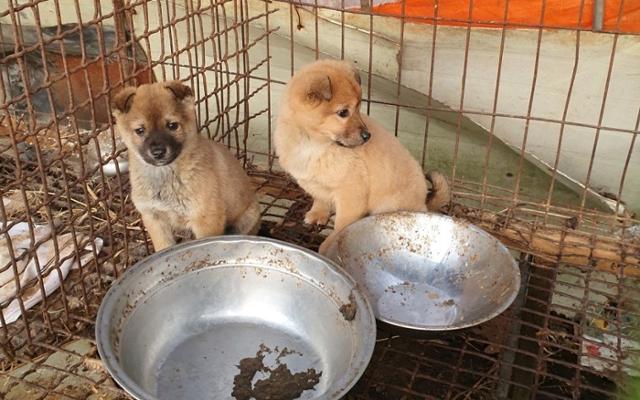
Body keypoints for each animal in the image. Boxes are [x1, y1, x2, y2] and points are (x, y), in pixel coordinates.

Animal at [112, 79, 260, 252]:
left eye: (172, 125)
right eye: (140, 130)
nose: (158, 152)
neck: (165, 176)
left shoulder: (206, 219)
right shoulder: (154, 218)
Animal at [274, 59, 450, 253]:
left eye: (358, 108)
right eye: (344, 112)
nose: (367, 136)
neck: (314, 144)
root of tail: (423, 204)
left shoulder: (351, 192)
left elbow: (342, 225)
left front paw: (329, 244)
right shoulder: (315, 183)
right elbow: (320, 199)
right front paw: (318, 213)